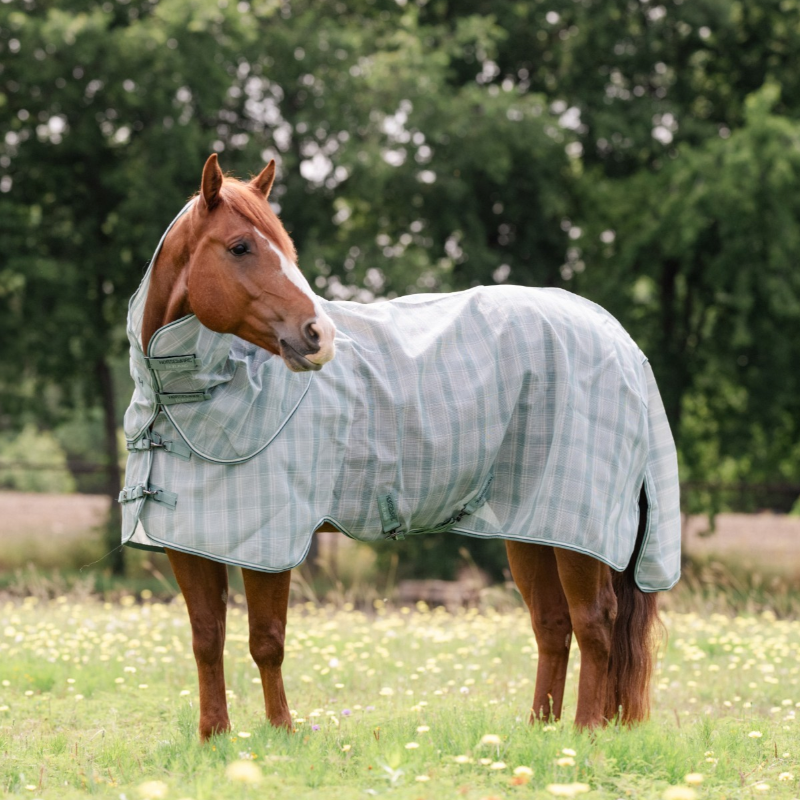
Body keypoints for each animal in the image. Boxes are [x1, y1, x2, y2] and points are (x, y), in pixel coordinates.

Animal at [122, 154, 679, 740]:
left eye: (286, 249)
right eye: (239, 247)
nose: (319, 336)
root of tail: (617, 339)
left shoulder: (269, 544)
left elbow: (266, 640)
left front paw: (281, 733)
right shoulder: (188, 542)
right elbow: (207, 637)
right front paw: (215, 737)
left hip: (581, 533)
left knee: (596, 622)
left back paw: (586, 733)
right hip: (535, 527)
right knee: (553, 624)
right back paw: (540, 733)